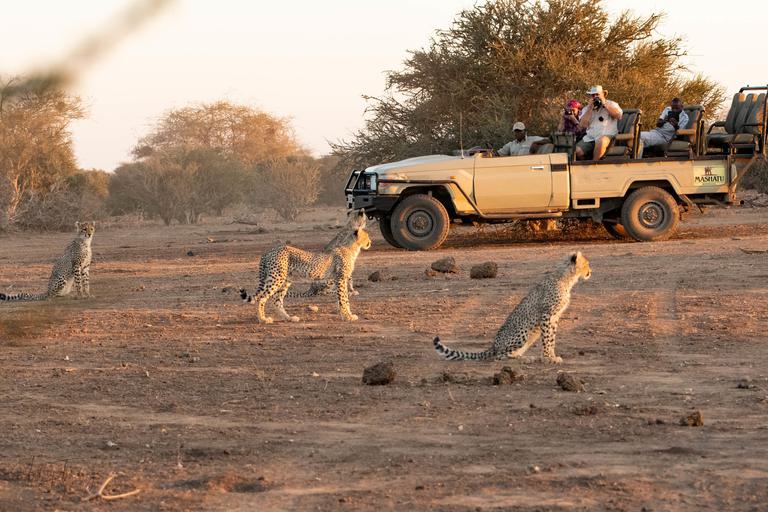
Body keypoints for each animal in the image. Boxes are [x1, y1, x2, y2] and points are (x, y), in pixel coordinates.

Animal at [239, 227, 372, 323]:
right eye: (367, 236)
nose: (370, 242)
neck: (352, 247)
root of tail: (269, 250)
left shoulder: (339, 279)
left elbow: (345, 298)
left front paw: (347, 315)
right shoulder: (340, 279)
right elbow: (344, 299)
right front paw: (348, 316)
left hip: (285, 280)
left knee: (276, 301)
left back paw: (289, 318)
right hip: (276, 278)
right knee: (262, 298)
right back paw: (263, 319)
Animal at [433, 251, 591, 364]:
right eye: (587, 264)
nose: (590, 271)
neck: (566, 279)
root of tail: (494, 345)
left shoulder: (555, 316)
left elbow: (551, 338)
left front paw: (551, 355)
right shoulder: (547, 314)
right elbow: (547, 338)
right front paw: (548, 358)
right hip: (522, 332)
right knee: (499, 356)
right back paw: (526, 358)